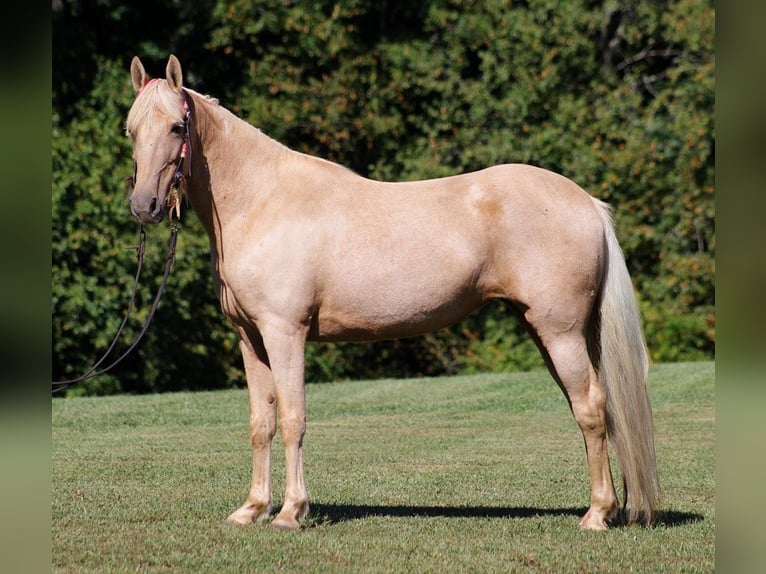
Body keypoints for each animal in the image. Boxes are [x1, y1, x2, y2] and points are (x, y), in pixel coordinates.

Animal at [126, 56, 660, 532]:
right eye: (131, 130)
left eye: (177, 126)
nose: (144, 206)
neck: (262, 200)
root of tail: (587, 203)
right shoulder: (250, 339)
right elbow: (263, 424)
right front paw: (251, 509)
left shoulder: (285, 334)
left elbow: (295, 419)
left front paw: (289, 513)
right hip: (553, 333)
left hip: (560, 332)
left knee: (591, 408)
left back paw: (596, 515)